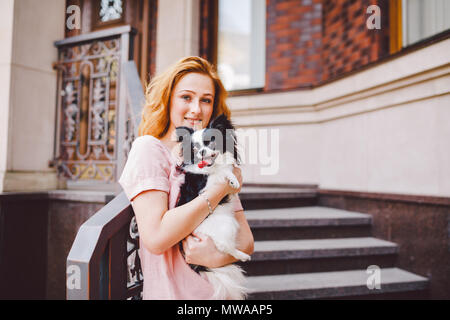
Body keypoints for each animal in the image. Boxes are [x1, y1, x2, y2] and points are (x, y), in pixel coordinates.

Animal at [175, 114, 250, 300]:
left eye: (210, 142)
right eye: (194, 148)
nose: (201, 152)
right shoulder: (207, 184)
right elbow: (221, 172)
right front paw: (232, 178)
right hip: (228, 224)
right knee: (224, 247)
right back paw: (242, 255)